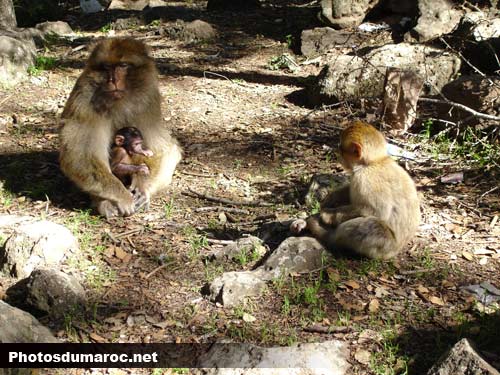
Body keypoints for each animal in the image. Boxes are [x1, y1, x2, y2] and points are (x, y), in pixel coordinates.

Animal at [292, 122, 420, 260]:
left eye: (341, 147)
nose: (337, 152)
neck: (374, 162)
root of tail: (397, 250)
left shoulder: (364, 179)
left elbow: (374, 211)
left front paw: (327, 215)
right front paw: (332, 198)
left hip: (385, 247)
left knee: (371, 225)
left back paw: (327, 235)